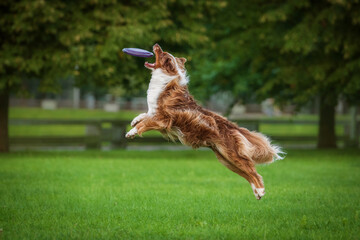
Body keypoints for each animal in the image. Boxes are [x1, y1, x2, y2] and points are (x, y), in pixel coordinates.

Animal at [126, 44, 284, 200]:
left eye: (162, 53)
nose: (156, 45)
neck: (166, 79)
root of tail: (232, 126)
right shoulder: (155, 114)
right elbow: (144, 115)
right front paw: (134, 120)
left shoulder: (162, 119)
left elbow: (144, 124)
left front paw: (131, 132)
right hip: (225, 159)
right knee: (248, 173)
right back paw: (257, 192)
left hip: (232, 155)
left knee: (253, 171)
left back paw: (260, 190)